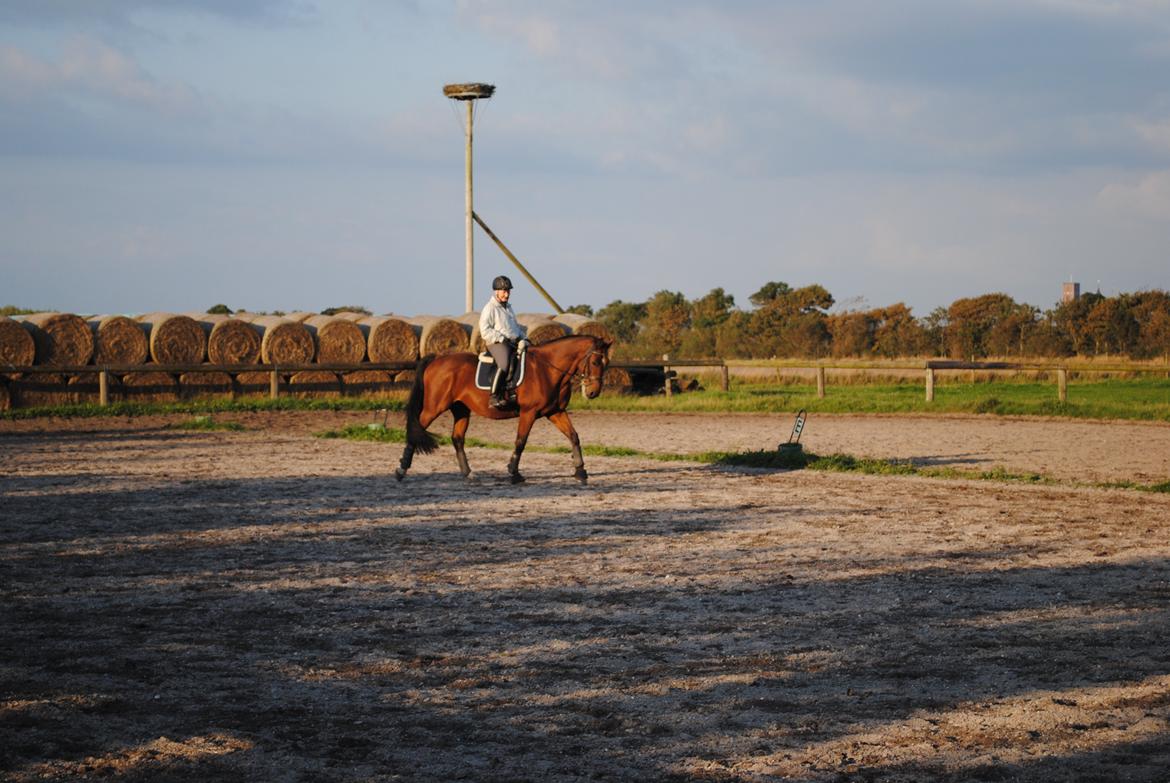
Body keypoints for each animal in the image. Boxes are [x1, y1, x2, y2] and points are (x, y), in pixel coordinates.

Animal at [393, 334, 613, 482]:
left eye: (606, 363)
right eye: (595, 361)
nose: (593, 392)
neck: (547, 369)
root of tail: (437, 359)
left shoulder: (555, 412)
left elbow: (574, 436)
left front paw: (581, 471)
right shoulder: (529, 413)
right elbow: (520, 441)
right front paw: (514, 473)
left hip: (461, 409)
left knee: (457, 438)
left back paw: (469, 473)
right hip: (434, 407)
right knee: (415, 430)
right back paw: (401, 471)